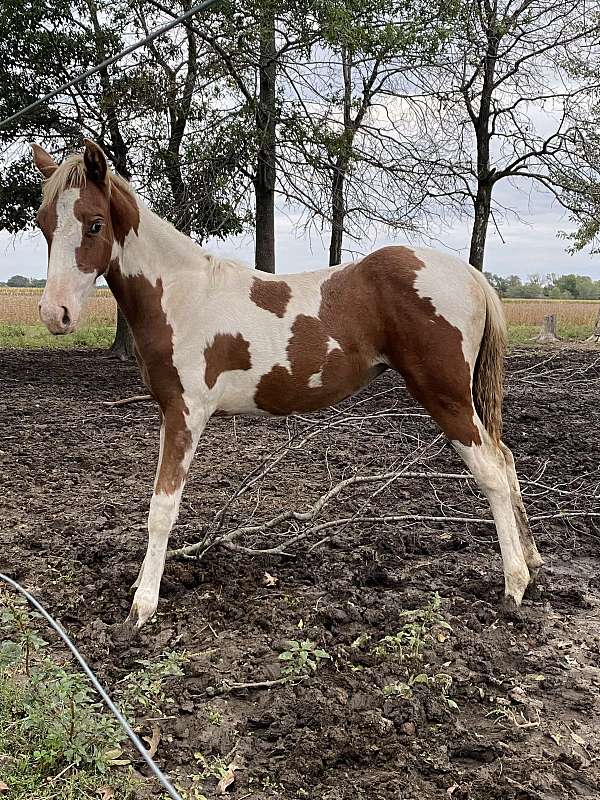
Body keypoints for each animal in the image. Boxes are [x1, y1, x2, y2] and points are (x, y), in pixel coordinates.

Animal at [30, 141, 540, 628]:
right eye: (44, 224)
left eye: (95, 224)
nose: (55, 315)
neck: (179, 294)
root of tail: (471, 275)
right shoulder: (169, 413)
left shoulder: (184, 414)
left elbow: (162, 510)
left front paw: (141, 608)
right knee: (506, 458)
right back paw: (532, 561)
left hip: (446, 396)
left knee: (491, 472)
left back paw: (514, 585)